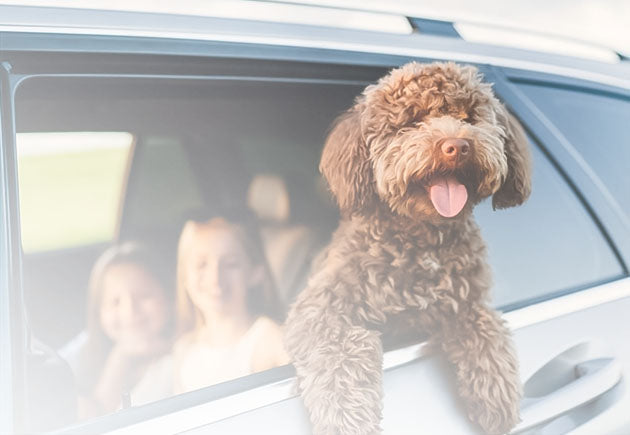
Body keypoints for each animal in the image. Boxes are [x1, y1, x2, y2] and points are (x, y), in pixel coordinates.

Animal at [286, 62, 532, 435]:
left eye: (468, 117)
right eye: (412, 120)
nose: (457, 145)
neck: (424, 241)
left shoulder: (465, 300)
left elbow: (484, 324)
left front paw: (497, 394)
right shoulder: (321, 308)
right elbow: (339, 350)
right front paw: (349, 418)